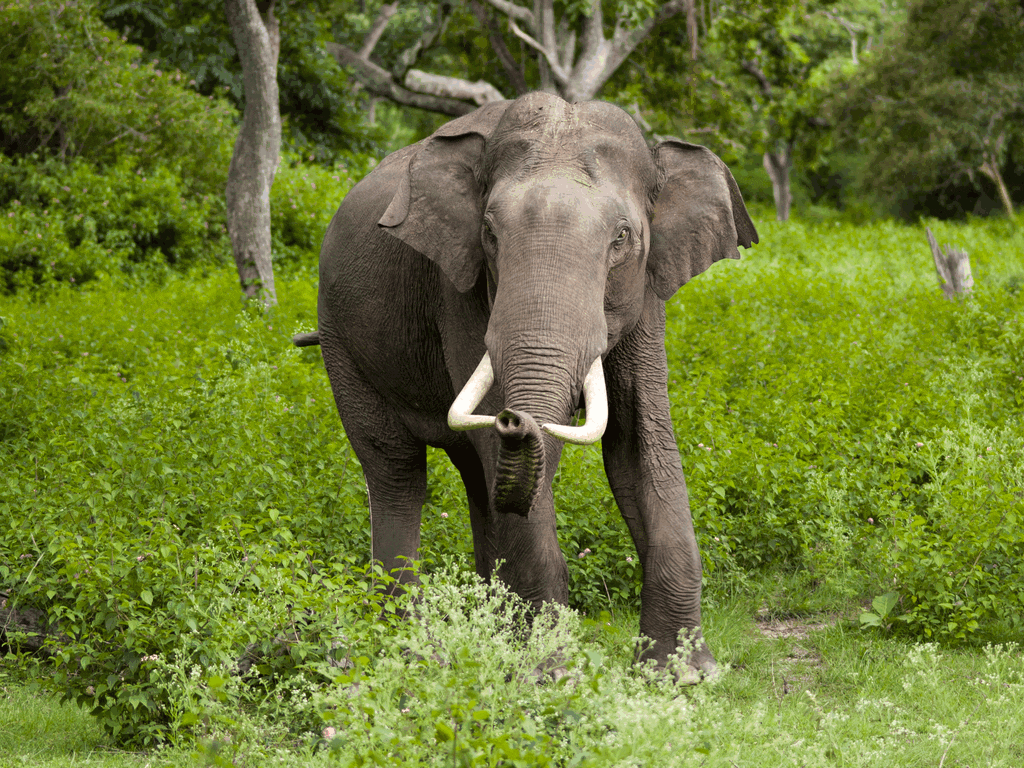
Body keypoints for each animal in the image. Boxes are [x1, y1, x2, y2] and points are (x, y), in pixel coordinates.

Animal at [292, 91, 757, 679]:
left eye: (622, 238)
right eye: (490, 234)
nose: (517, 419)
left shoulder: (648, 290)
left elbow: (638, 443)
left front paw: (684, 674)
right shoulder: (460, 288)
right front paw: (550, 674)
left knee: (475, 477)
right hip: (339, 338)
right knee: (396, 469)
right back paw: (412, 649)